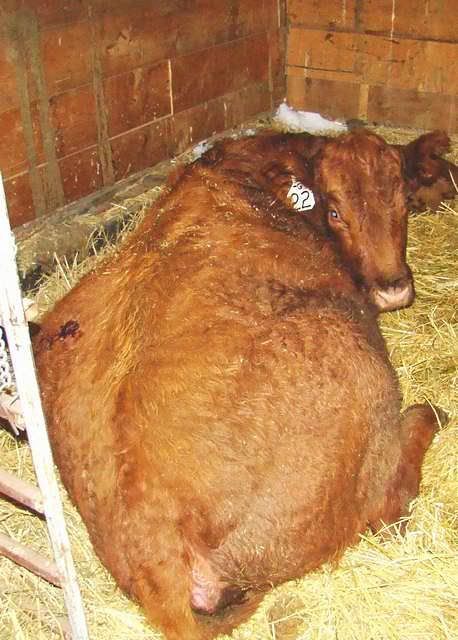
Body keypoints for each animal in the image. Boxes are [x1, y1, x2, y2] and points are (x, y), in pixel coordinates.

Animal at [33, 129, 445, 640]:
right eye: (335, 211)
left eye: (403, 199)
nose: (393, 288)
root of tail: (153, 546)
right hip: (358, 367)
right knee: (389, 504)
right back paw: (429, 415)